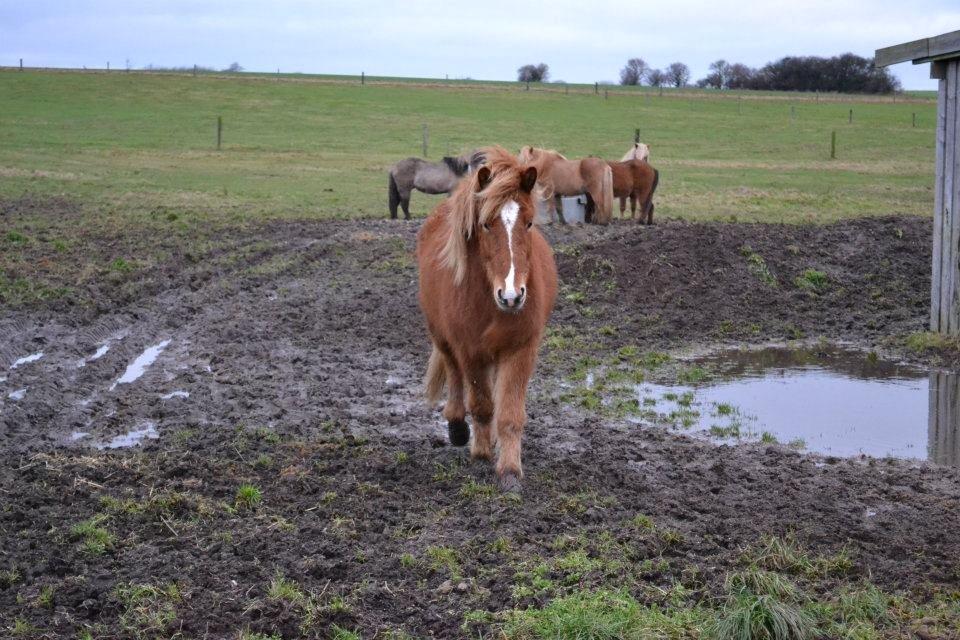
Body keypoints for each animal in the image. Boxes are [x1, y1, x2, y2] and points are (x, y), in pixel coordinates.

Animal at [416, 146, 560, 496]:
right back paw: (457, 427)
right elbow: (481, 404)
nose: (511, 295)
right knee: (454, 376)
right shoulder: (470, 351)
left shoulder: (521, 349)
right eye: (484, 225)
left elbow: (509, 414)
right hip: (444, 339)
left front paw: (509, 470)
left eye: (529, 223)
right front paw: (480, 452)